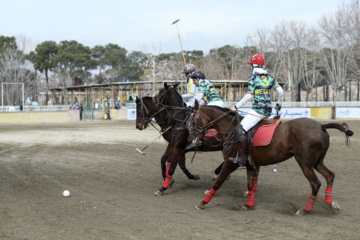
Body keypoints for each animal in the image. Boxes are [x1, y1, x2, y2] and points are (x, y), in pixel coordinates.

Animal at [191, 99, 354, 214]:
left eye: (193, 120)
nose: (193, 139)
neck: (230, 129)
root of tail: (321, 126)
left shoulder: (231, 163)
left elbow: (217, 182)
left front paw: (202, 203)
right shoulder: (250, 164)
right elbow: (250, 184)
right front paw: (248, 205)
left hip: (305, 162)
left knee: (315, 183)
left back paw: (305, 209)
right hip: (317, 161)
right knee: (330, 176)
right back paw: (330, 203)